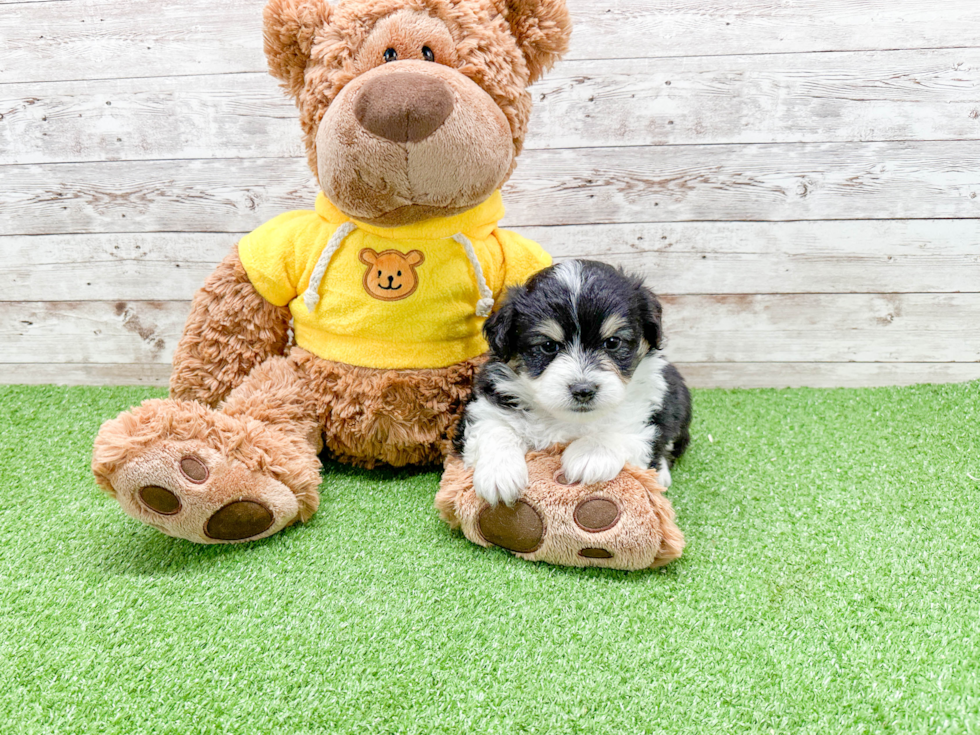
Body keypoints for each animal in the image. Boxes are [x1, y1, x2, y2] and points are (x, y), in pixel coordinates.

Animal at [456, 258, 692, 506]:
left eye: (613, 342)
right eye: (548, 346)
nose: (583, 390)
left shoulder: (648, 409)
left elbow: (626, 427)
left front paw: (590, 454)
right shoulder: (488, 402)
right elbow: (495, 427)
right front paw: (498, 472)